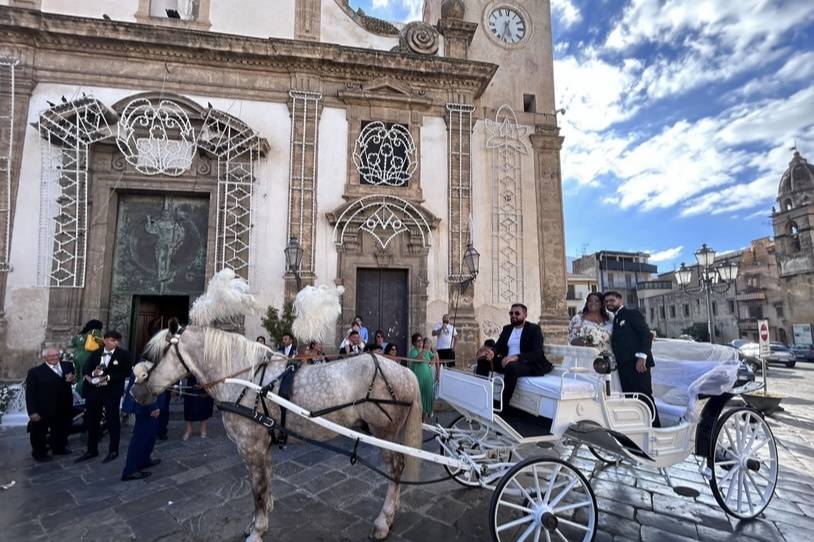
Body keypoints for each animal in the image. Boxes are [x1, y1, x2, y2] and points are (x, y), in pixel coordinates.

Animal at [131, 272, 424, 542]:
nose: (135, 391)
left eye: (155, 355)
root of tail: (405, 371)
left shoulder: (251, 445)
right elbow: (264, 483)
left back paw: (383, 520)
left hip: (384, 431)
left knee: (396, 469)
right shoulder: (262, 443)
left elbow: (258, 489)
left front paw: (257, 531)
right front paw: (255, 524)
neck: (243, 377)